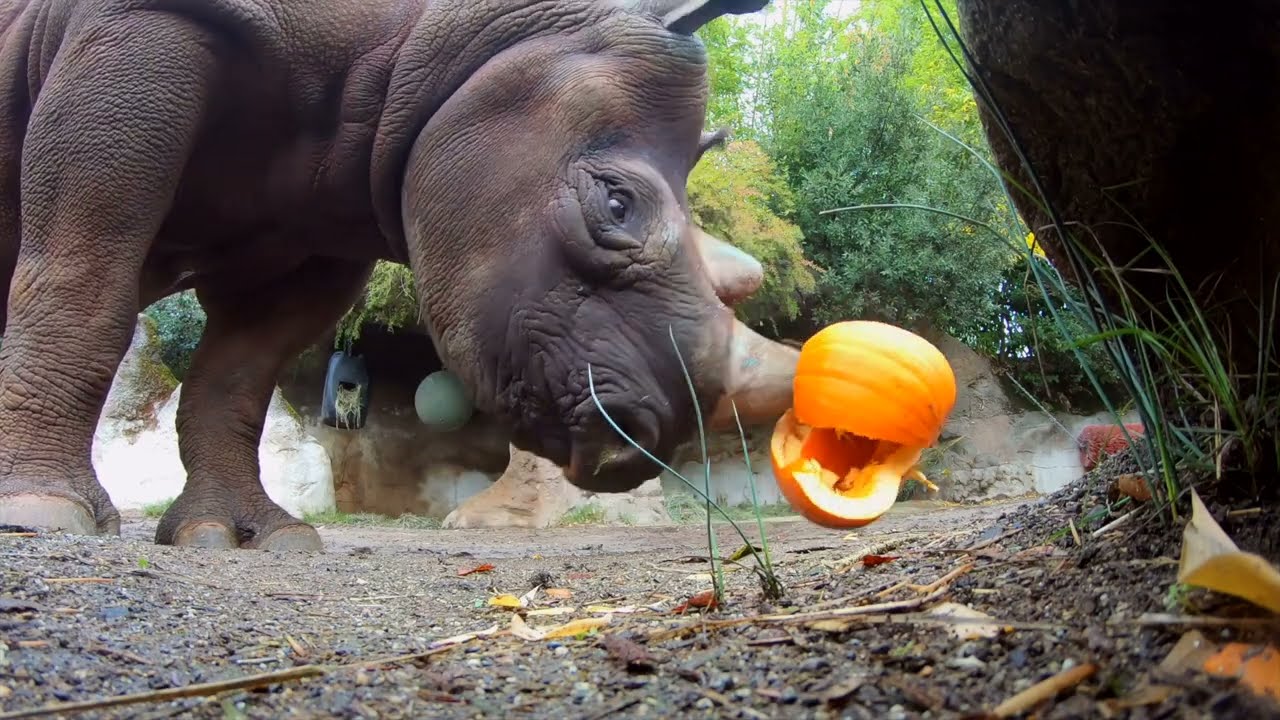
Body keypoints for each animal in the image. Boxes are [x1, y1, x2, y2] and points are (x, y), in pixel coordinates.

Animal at [0, 0, 802, 550]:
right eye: (615, 204)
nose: (651, 437)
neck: (448, 38)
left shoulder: (321, 215)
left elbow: (239, 375)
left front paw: (247, 538)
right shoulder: (142, 22)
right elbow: (83, 274)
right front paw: (41, 513)